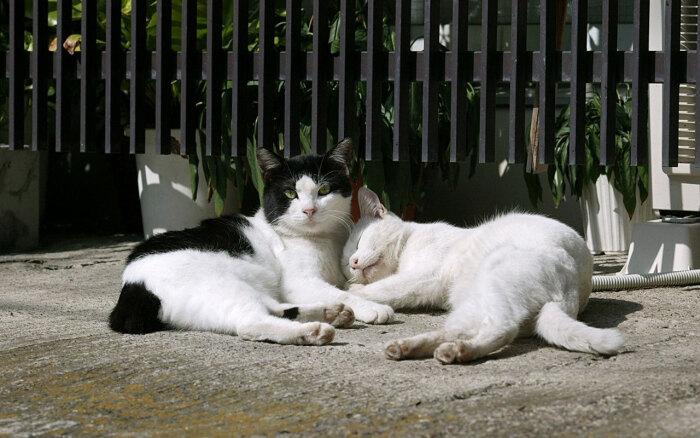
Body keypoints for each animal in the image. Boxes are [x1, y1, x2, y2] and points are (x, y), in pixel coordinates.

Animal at [344, 188, 624, 362]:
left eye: (358, 242)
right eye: (346, 265)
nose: (353, 263)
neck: (408, 242)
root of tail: (572, 292)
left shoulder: (425, 277)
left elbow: (383, 289)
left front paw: (351, 291)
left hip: (494, 276)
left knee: (503, 329)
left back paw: (459, 352)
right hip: (472, 304)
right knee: (460, 330)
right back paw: (408, 347)